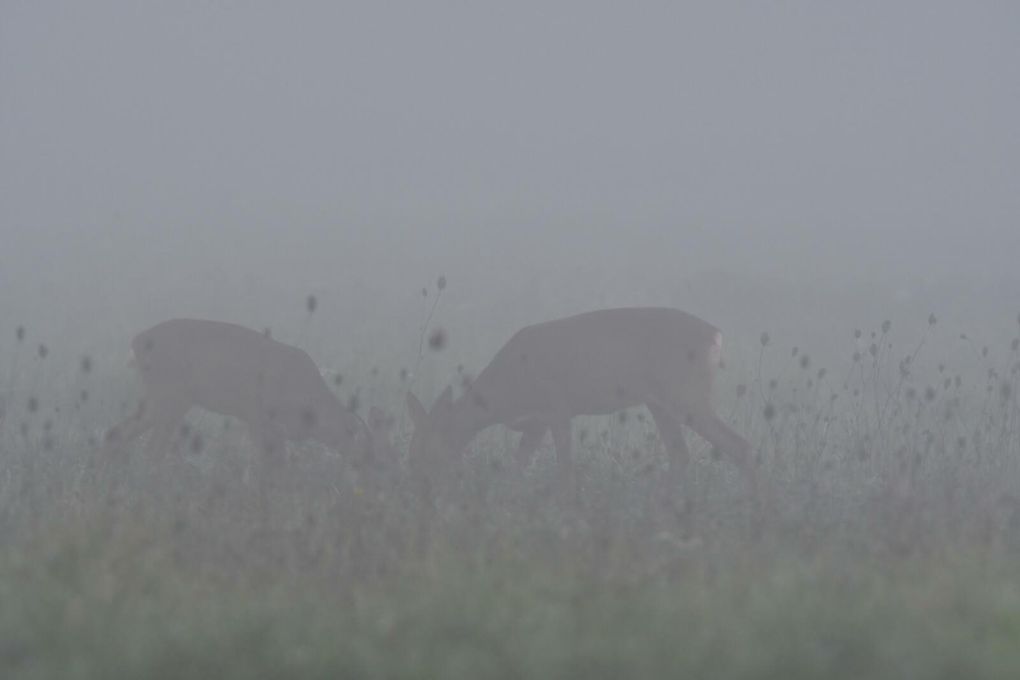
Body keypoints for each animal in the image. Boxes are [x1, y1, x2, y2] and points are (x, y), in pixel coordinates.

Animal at [103, 320, 373, 468]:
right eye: (355, 437)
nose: (365, 465)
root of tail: (136, 342)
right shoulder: (259, 415)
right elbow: (270, 463)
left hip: (164, 397)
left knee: (120, 432)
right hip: (170, 395)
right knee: (152, 448)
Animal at [408, 307, 758, 505]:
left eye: (429, 451)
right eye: (415, 449)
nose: (420, 486)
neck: (505, 392)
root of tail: (716, 335)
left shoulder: (557, 406)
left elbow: (564, 466)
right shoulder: (536, 421)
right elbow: (519, 464)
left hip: (684, 392)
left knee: (738, 445)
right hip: (659, 401)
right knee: (681, 454)